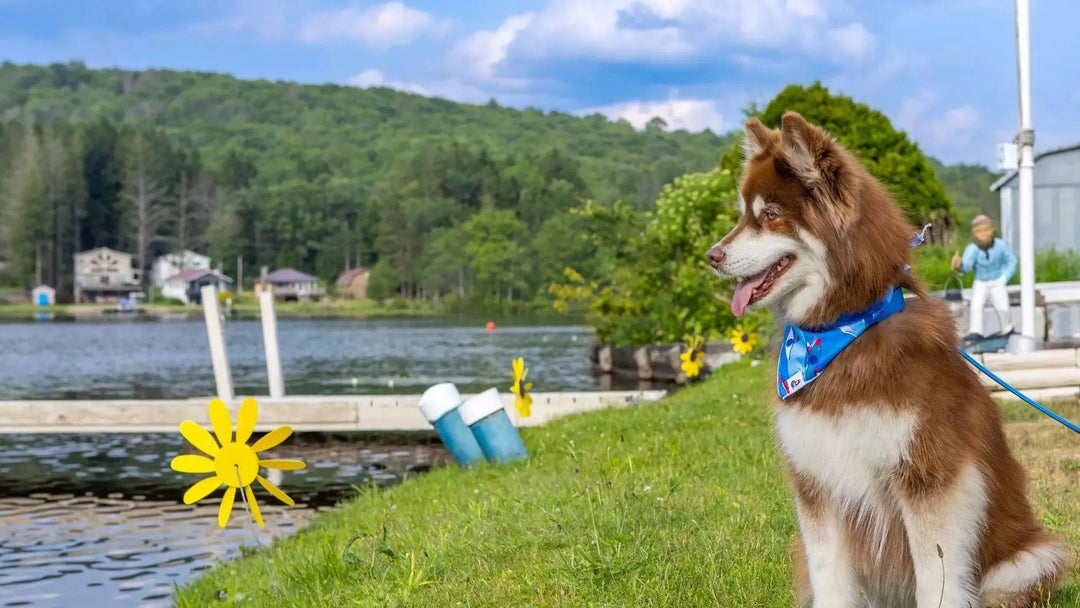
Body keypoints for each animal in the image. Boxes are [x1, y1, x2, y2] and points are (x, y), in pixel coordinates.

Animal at [704, 111, 1067, 604]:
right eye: (744, 214)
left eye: (771, 216)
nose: (711, 256)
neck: (841, 333)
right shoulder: (816, 483)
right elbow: (829, 578)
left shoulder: (929, 476)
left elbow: (937, 577)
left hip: (1032, 557)